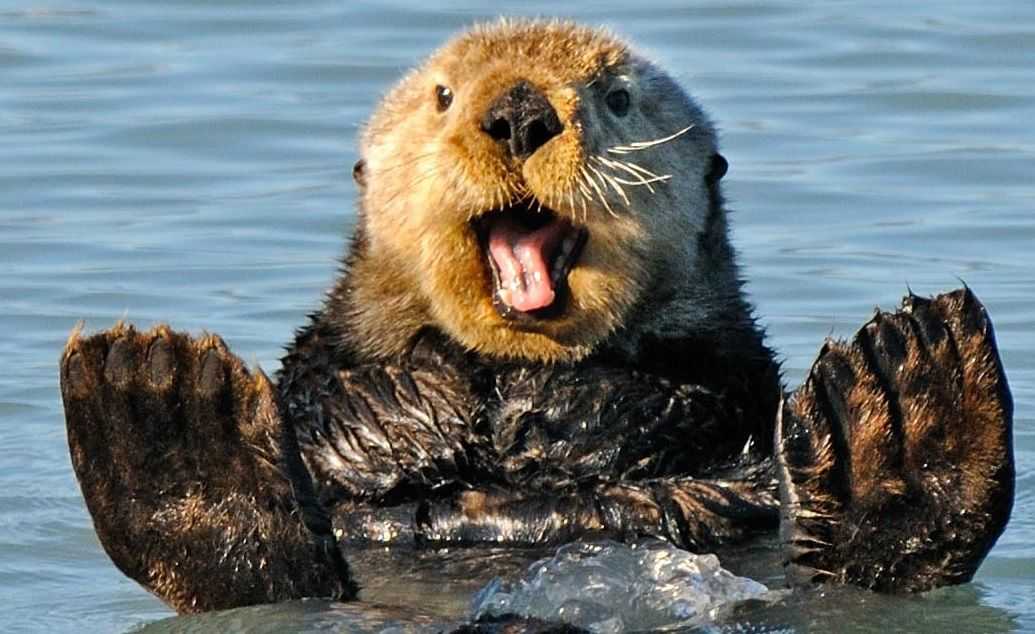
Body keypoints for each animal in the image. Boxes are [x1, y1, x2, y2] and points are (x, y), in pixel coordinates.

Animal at [59, 19, 1013, 625]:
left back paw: (908, 400)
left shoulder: (724, 383)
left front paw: (557, 414)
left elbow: (673, 400)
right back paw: (166, 416)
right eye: (443, 96)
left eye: (617, 98)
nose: (518, 111)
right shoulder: (329, 374)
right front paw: (426, 406)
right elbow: (346, 398)